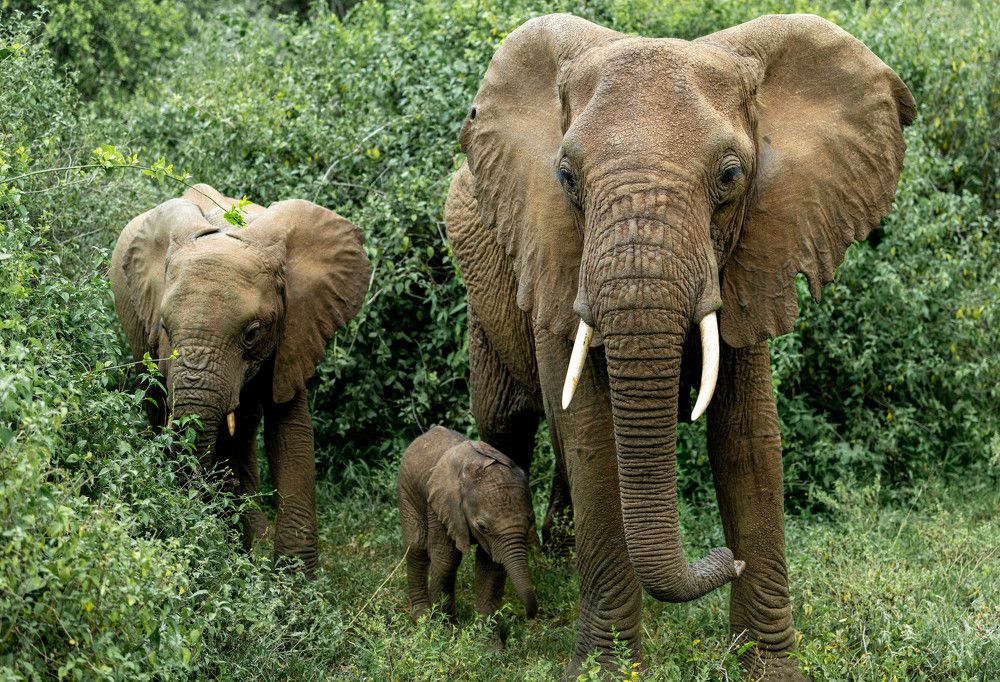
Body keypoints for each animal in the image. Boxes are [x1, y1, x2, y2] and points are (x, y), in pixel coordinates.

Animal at [398, 426, 538, 638]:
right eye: (482, 526)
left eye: (531, 521)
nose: (528, 616)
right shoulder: (442, 505)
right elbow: (446, 559)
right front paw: (446, 633)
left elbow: (491, 567)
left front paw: (488, 643)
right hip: (407, 490)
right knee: (417, 546)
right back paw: (421, 618)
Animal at [445, 13, 914, 679]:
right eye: (565, 178)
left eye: (730, 176)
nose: (723, 559)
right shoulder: (555, 257)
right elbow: (594, 439)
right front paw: (605, 669)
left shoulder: (756, 251)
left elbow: (747, 439)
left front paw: (768, 668)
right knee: (506, 427)